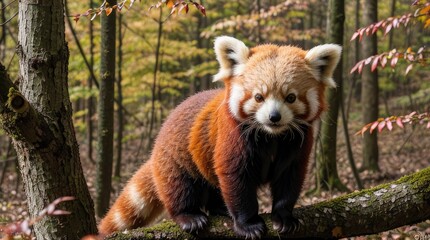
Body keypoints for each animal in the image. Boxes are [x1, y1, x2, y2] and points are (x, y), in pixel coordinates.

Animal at [99, 35, 340, 238]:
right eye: (258, 97)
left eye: (291, 97)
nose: (274, 117)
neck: (271, 136)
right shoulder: (231, 135)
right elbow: (235, 178)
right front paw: (248, 224)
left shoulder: (297, 143)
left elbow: (289, 178)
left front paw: (284, 216)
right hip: (176, 157)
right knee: (179, 187)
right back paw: (189, 216)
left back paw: (220, 209)